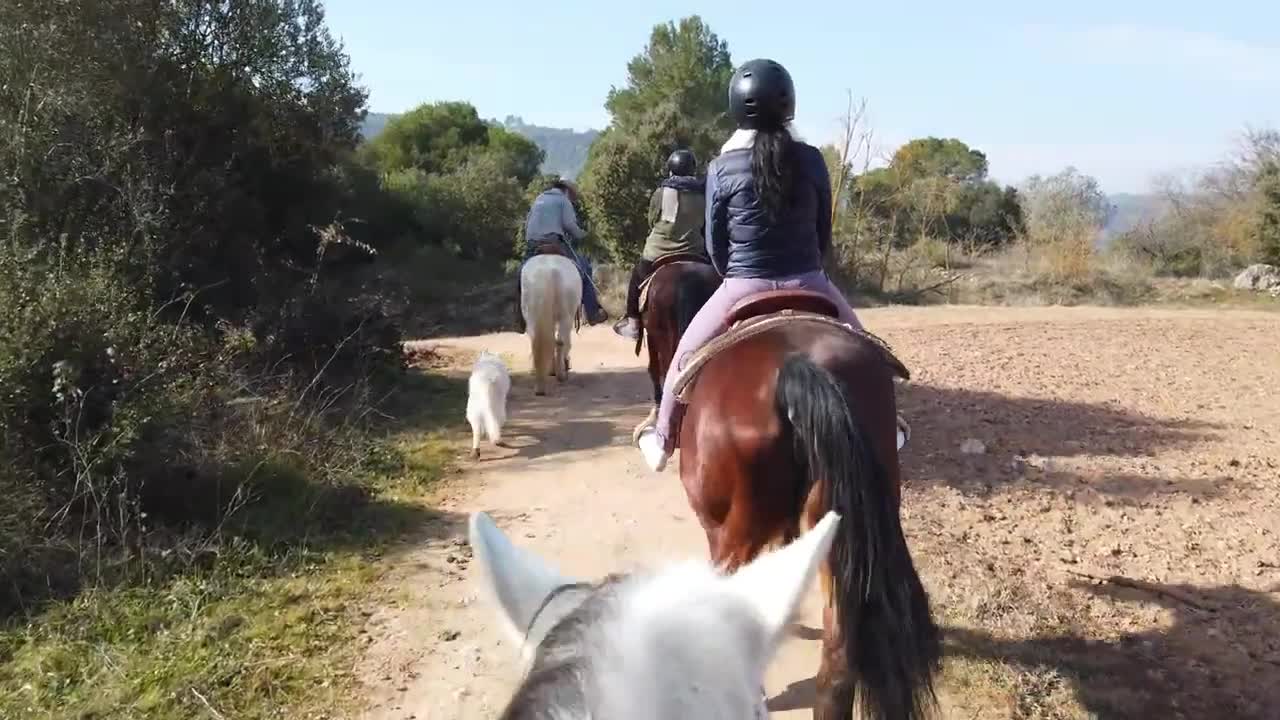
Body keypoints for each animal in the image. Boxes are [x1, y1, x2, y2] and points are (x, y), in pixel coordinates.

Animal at [517, 252, 583, 394]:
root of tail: (549, 271)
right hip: (566, 317)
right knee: (561, 341)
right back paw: (561, 374)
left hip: (532, 316)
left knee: (537, 341)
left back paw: (540, 384)